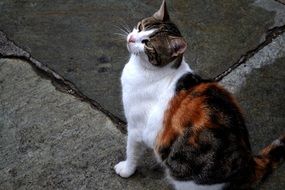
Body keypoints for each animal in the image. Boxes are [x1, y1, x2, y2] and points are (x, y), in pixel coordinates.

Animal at [113, 0, 284, 189]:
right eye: (140, 27)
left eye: (147, 44)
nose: (130, 38)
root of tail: (249, 165)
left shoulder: (136, 127)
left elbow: (132, 151)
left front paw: (126, 169)